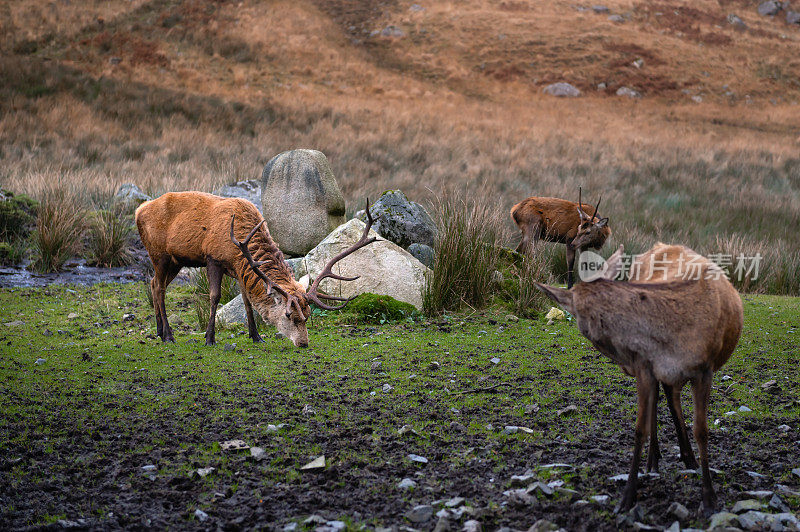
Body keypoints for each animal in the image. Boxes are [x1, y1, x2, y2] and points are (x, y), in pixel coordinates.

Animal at [135, 193, 378, 348]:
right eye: (289, 315)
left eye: (308, 315)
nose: (303, 343)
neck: (238, 246)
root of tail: (138, 210)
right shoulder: (213, 258)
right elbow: (215, 297)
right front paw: (209, 338)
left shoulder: (239, 268)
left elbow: (247, 301)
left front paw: (256, 336)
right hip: (159, 254)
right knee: (159, 287)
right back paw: (168, 335)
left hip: (175, 261)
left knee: (154, 284)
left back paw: (159, 331)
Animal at [536, 243, 748, 512]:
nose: (626, 364)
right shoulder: (645, 367)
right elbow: (639, 429)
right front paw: (628, 496)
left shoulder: (704, 369)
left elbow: (701, 430)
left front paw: (709, 497)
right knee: (660, 401)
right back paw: (655, 461)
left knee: (670, 396)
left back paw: (688, 459)